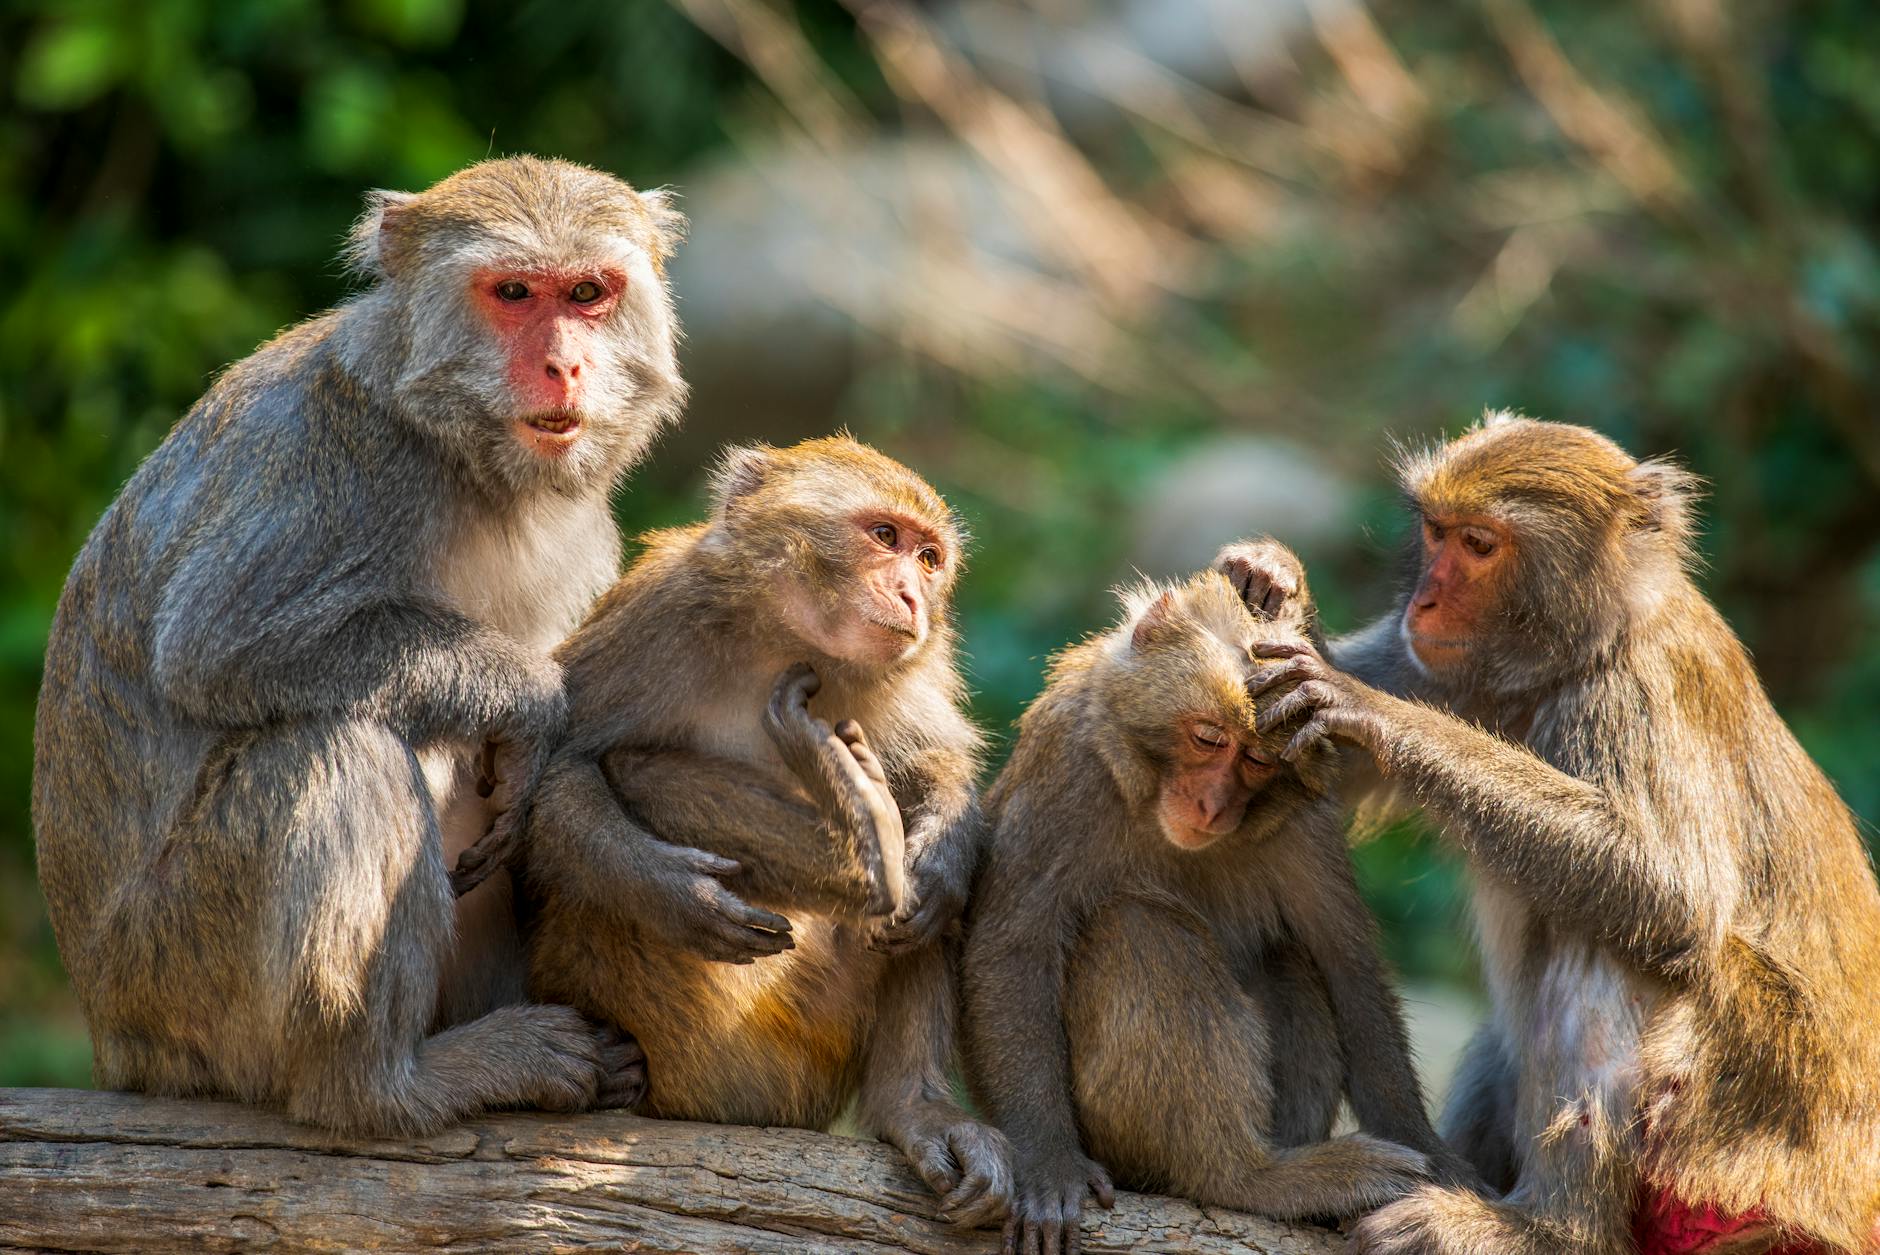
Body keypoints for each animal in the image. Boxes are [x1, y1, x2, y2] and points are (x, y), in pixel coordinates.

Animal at [31, 156, 687, 1136]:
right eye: (514, 292)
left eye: (587, 292)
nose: (564, 364)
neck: (459, 452)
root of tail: (113, 1038)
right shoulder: (339, 462)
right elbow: (218, 645)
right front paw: (531, 699)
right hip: (179, 973)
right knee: (338, 743)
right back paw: (384, 1084)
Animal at [522, 435, 1013, 1229]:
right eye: (885, 536)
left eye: (930, 558)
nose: (913, 596)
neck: (787, 644)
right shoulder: (656, 617)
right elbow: (554, 780)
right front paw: (672, 892)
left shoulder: (903, 675)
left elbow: (935, 768)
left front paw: (943, 853)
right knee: (644, 772)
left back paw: (914, 1104)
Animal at [962, 548, 1477, 1255]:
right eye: (1208, 738)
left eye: (1257, 760)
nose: (1210, 806)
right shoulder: (1066, 765)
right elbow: (1011, 951)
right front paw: (1047, 1163)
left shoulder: (1304, 819)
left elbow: (1348, 967)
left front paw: (1436, 1160)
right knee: (1139, 927)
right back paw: (1244, 1177)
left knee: (1287, 960)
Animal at [1222, 414, 1880, 1254]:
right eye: (1434, 532)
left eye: (1479, 543)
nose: (1424, 603)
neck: (1576, 654)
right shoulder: (1440, 669)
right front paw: (1267, 575)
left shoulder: (1635, 694)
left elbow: (1673, 892)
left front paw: (1366, 707)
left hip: (1747, 1127)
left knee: (1607, 938)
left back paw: (1552, 1228)